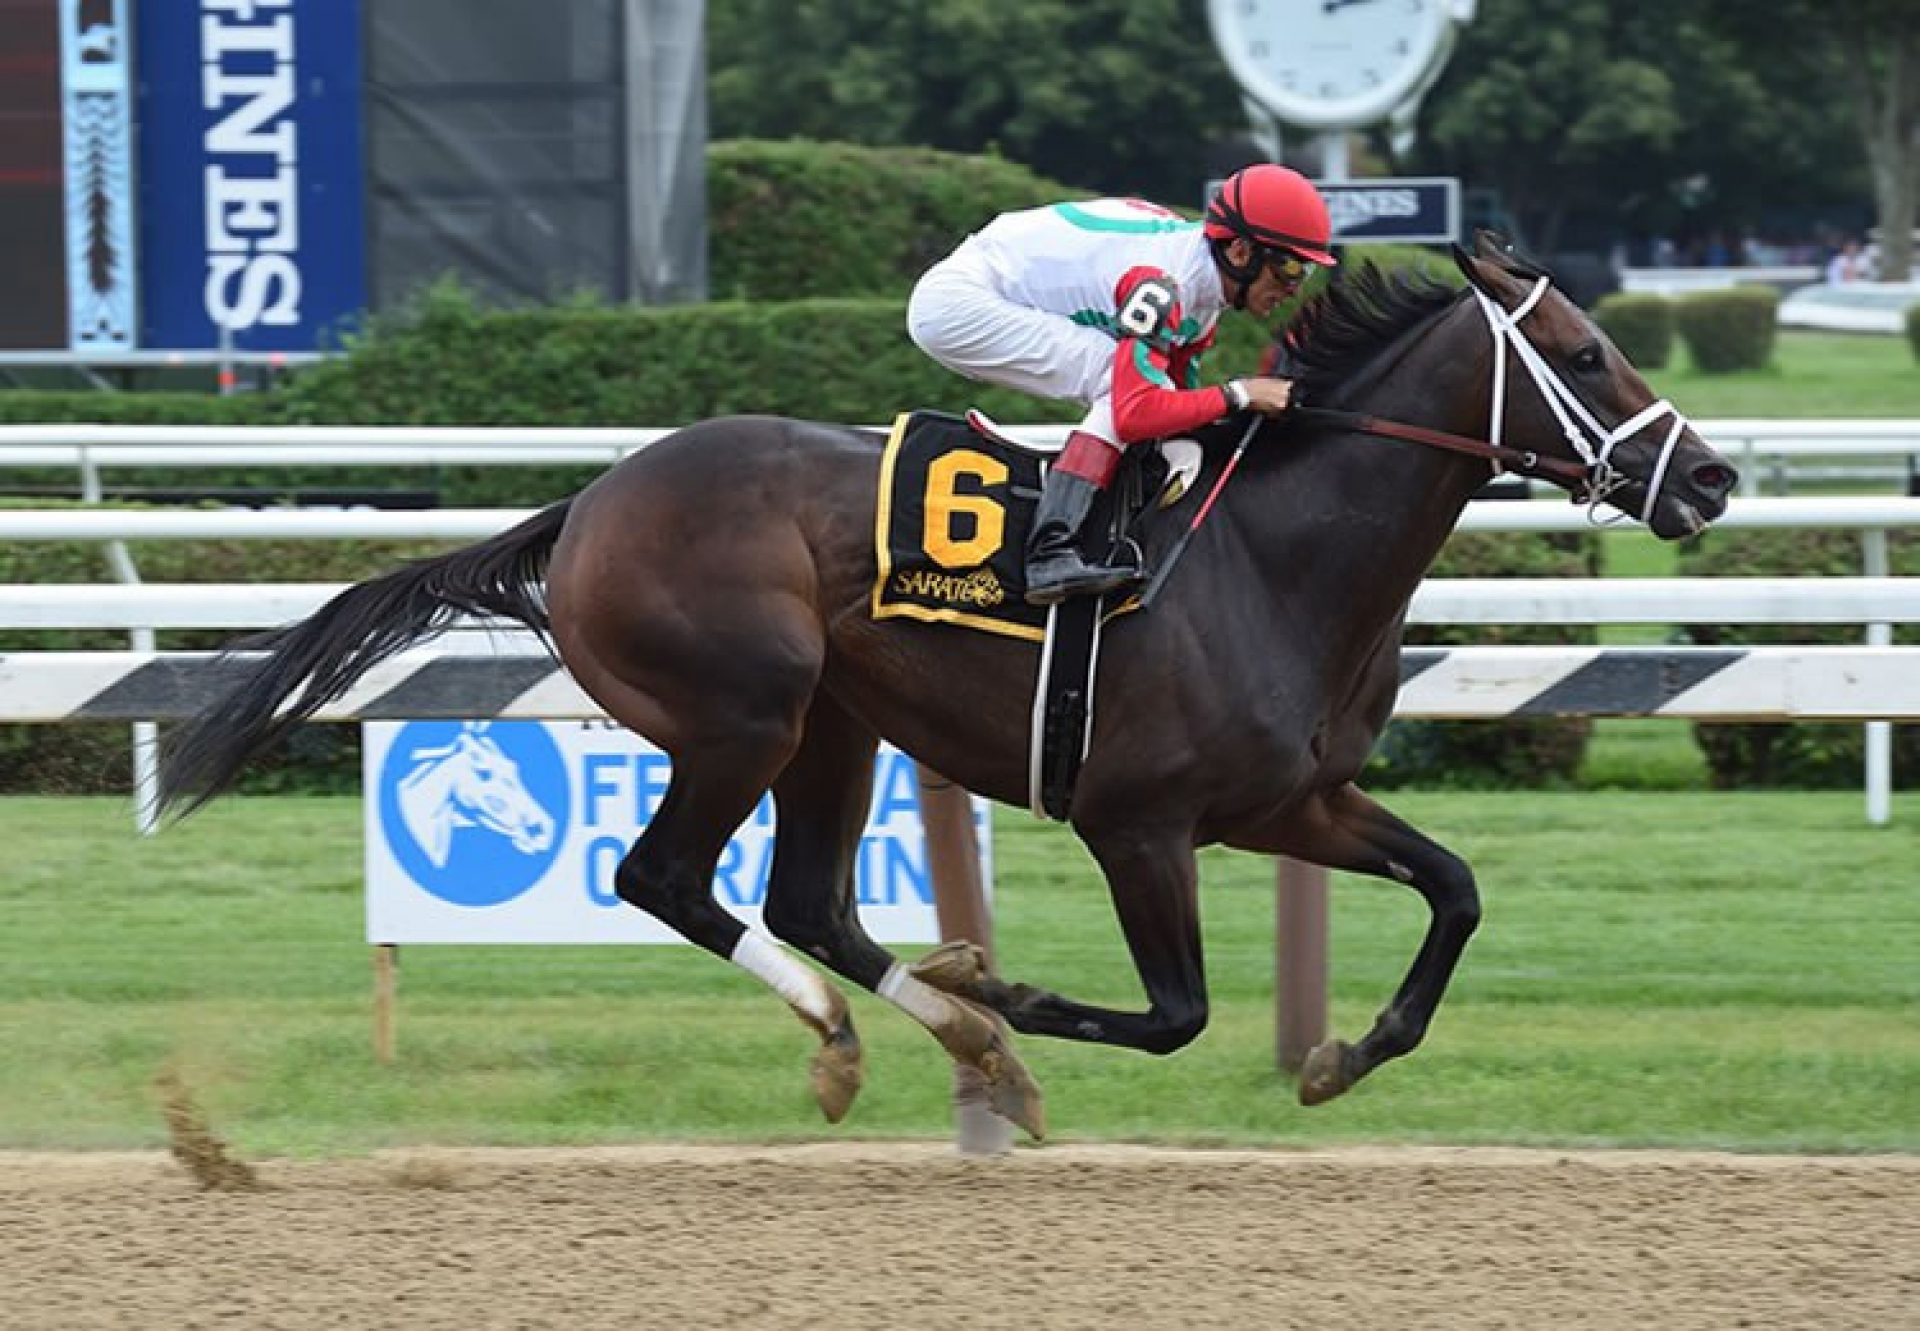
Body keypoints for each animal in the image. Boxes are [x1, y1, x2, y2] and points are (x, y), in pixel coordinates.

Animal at [153, 236, 1743, 1129]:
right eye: (1587, 349)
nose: (1713, 477)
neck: (1270, 558)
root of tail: (588, 503)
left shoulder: (1293, 801)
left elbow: (1455, 888)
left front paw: (1344, 1054)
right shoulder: (1138, 822)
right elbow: (1174, 1011)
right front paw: (1020, 987)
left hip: (835, 728)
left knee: (809, 902)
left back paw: (934, 1025)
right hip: (748, 708)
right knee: (666, 879)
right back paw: (904, 1026)